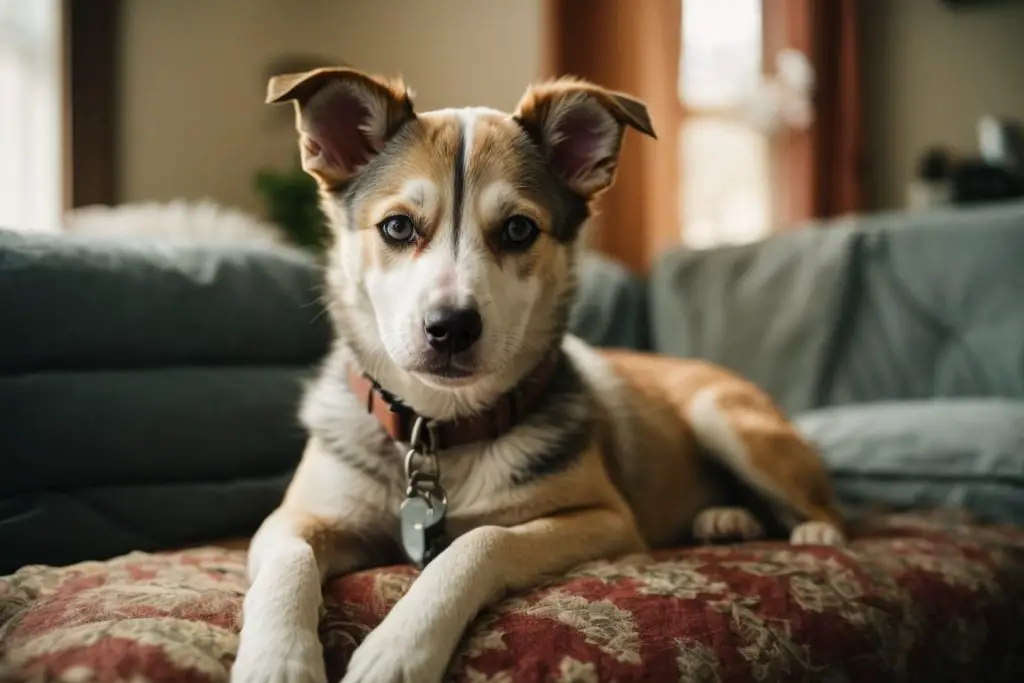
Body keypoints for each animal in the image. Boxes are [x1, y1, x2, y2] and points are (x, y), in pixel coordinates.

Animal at [234, 65, 847, 683]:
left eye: (518, 230)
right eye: (398, 227)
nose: (451, 327)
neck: (441, 428)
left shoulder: (605, 519)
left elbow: (481, 541)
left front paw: (401, 647)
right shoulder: (294, 519)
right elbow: (289, 561)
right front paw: (277, 658)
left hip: (722, 416)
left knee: (828, 510)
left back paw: (812, 532)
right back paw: (725, 519)